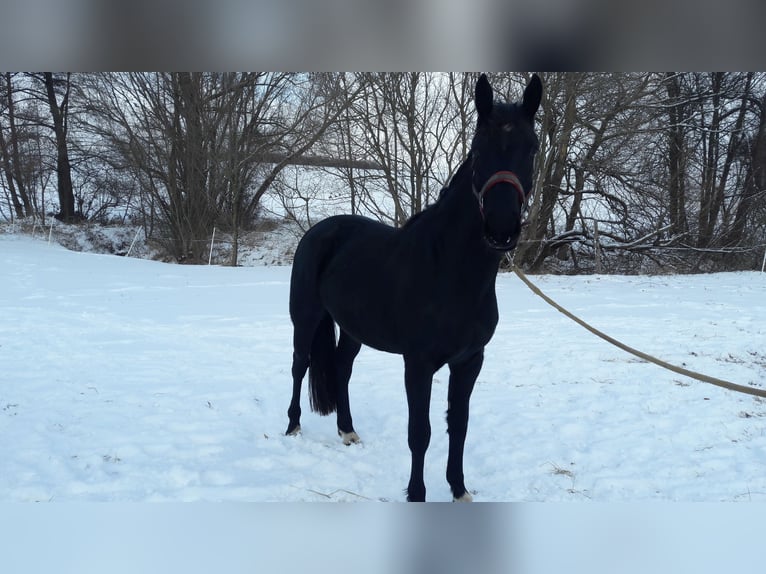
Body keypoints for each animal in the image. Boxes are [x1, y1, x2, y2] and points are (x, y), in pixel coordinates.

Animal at [285, 73, 542, 501]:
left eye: (533, 147)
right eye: (478, 148)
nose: (501, 226)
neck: (451, 271)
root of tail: (322, 229)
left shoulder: (469, 361)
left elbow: (459, 426)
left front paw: (459, 489)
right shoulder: (418, 364)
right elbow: (420, 433)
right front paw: (417, 494)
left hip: (353, 329)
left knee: (341, 367)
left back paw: (348, 431)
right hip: (306, 319)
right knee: (299, 366)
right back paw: (291, 428)